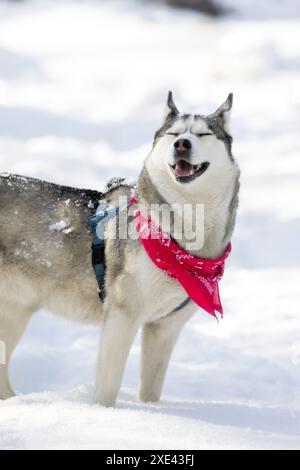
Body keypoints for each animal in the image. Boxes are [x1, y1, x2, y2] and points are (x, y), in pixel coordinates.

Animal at [0, 92, 240, 404]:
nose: (182, 144)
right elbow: (107, 388)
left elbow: (151, 391)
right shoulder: (121, 316)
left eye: (203, 133)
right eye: (174, 134)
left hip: (14, 312)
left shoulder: (165, 327)